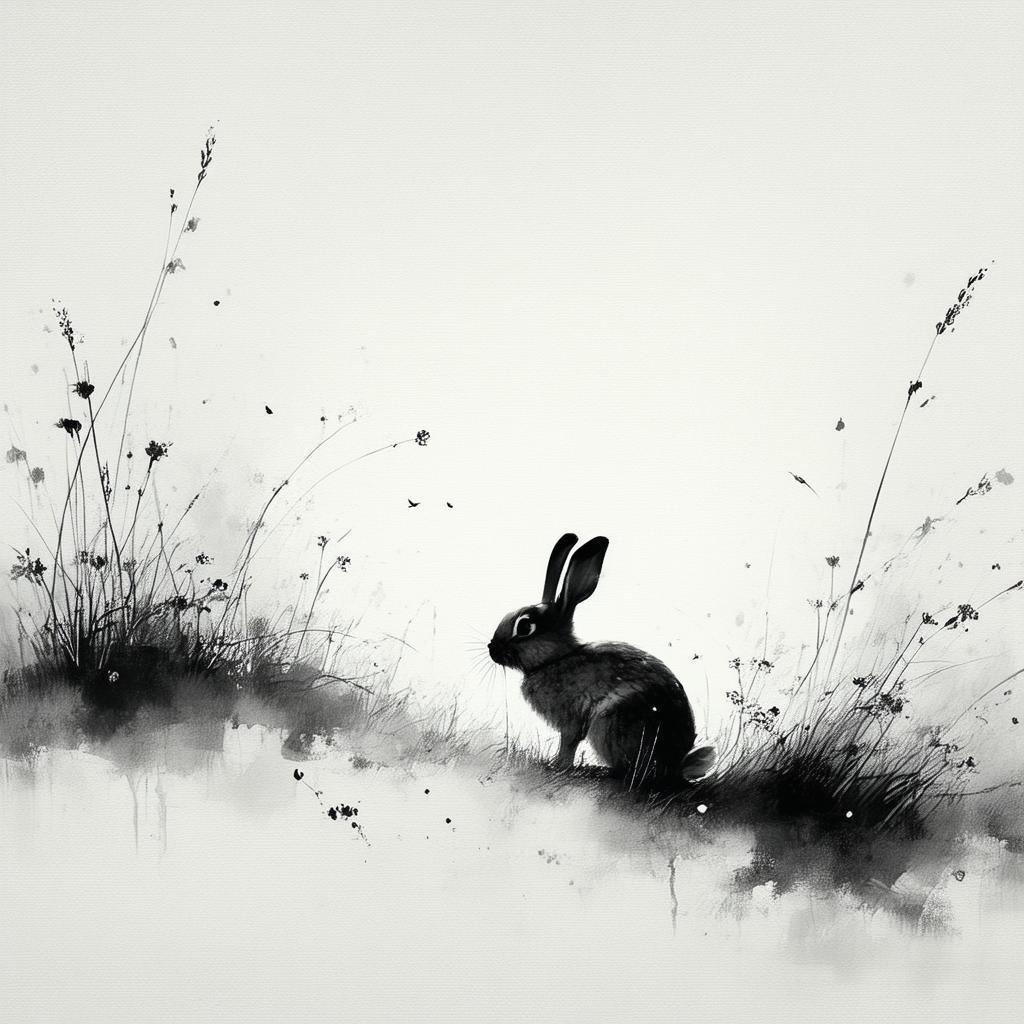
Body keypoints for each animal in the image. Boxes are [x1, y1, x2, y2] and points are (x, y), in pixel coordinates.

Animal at [487, 533, 716, 785]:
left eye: (525, 626)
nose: (491, 649)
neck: (555, 659)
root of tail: (673, 768)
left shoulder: (571, 719)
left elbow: (568, 744)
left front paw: (558, 767)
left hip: (613, 722)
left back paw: (597, 771)